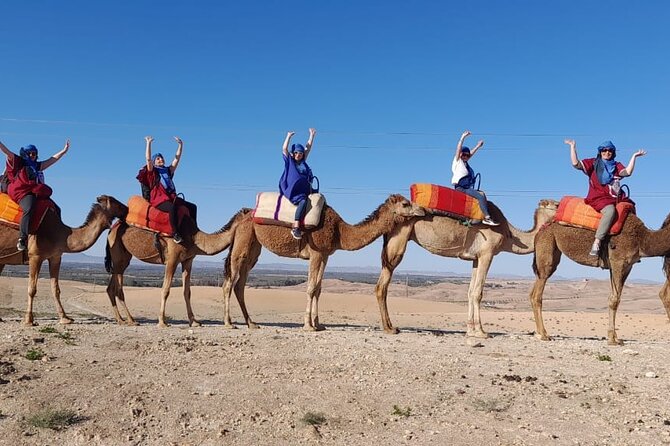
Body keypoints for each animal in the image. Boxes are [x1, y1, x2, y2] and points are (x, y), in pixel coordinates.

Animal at [0, 195, 127, 326]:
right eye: (115, 202)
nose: (126, 209)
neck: (59, 233)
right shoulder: (35, 256)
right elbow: (32, 289)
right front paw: (29, 320)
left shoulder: (55, 257)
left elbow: (55, 289)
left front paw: (65, 318)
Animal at [104, 208, 251, 327]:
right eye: (251, 213)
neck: (195, 239)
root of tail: (112, 229)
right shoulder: (172, 259)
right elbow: (165, 290)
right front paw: (162, 322)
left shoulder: (187, 261)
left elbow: (187, 292)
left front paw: (194, 322)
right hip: (118, 255)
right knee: (118, 288)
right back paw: (131, 320)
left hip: (123, 257)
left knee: (111, 287)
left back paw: (120, 320)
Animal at [222, 194, 425, 331]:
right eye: (405, 203)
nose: (423, 210)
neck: (339, 231)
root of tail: (242, 216)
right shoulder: (316, 253)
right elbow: (311, 287)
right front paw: (308, 326)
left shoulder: (326, 255)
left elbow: (319, 288)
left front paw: (318, 324)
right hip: (243, 241)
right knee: (229, 283)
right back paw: (229, 323)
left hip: (253, 247)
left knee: (239, 284)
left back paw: (251, 323)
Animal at [374, 199, 559, 336]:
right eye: (557, 205)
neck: (509, 235)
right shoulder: (487, 254)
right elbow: (478, 293)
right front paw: (482, 332)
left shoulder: (475, 258)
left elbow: (470, 292)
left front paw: (470, 329)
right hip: (399, 239)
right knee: (383, 282)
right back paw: (389, 328)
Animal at [530, 211, 670, 345]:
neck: (641, 239)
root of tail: (540, 231)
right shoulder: (618, 261)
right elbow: (614, 300)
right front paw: (612, 340)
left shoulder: (627, 266)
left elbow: (615, 297)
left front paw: (616, 338)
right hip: (547, 245)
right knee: (538, 292)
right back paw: (544, 335)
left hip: (552, 252)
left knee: (534, 289)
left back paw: (539, 332)